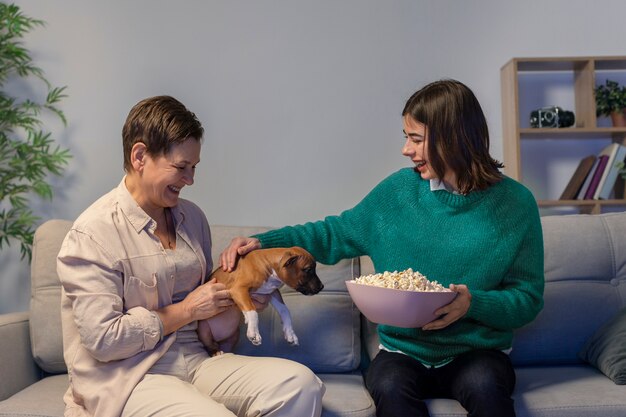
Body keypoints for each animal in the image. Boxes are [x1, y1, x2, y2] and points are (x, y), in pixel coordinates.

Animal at [196, 245, 324, 356]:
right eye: (308, 270)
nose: (322, 287)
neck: (269, 266)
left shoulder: (272, 292)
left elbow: (285, 311)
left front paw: (290, 333)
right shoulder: (238, 289)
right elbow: (252, 311)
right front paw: (253, 332)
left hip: (234, 335)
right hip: (203, 330)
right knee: (209, 344)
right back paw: (216, 352)